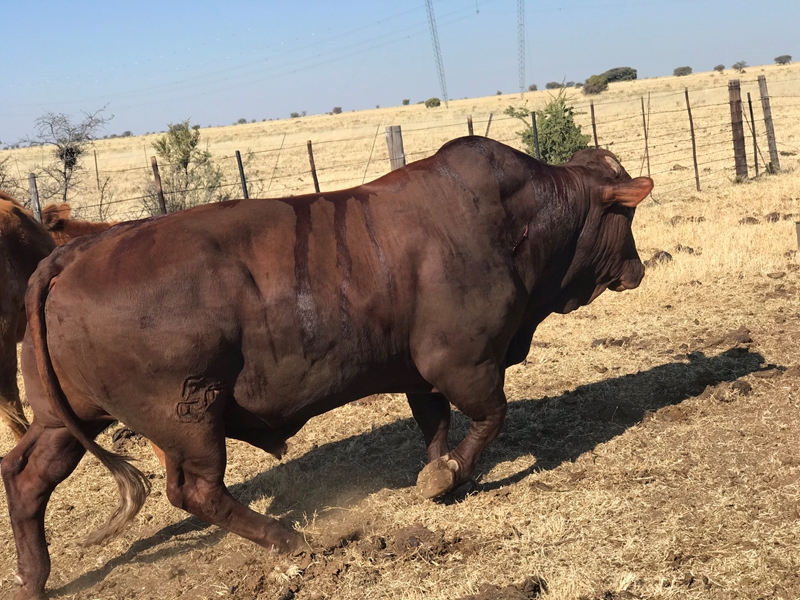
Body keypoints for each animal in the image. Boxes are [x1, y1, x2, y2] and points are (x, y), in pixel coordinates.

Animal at [2, 137, 652, 599]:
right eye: (625, 219)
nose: (639, 268)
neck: (515, 219)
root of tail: (73, 252)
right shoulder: (463, 361)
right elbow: (491, 417)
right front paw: (450, 476)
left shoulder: (418, 371)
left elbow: (435, 426)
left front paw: (437, 472)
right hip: (190, 417)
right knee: (194, 490)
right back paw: (287, 538)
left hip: (65, 420)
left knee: (25, 474)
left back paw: (34, 577)